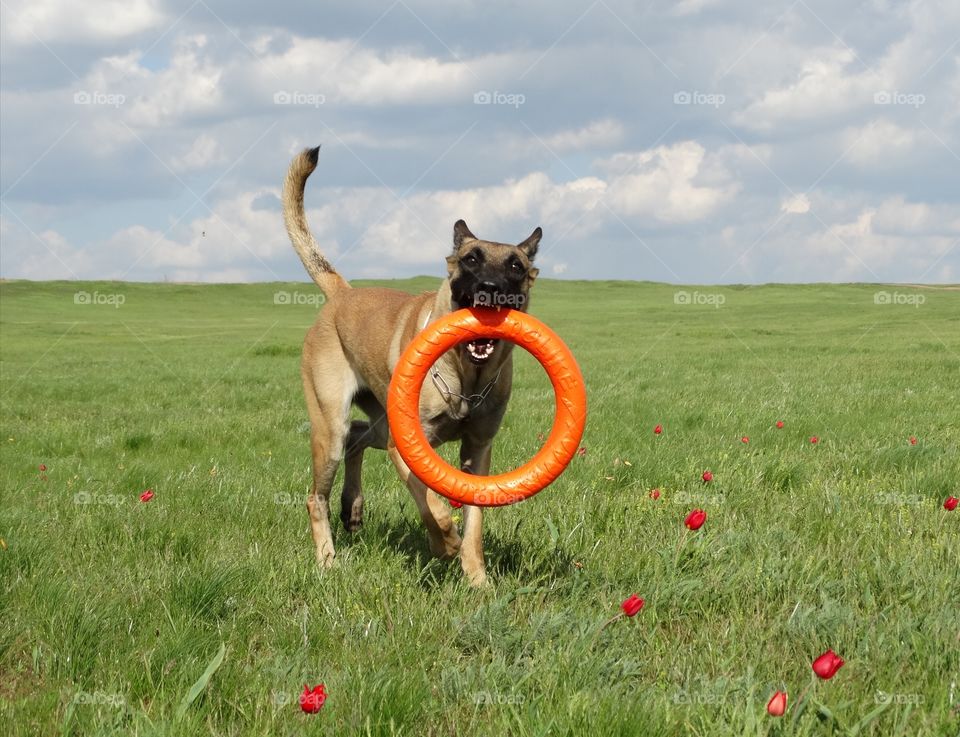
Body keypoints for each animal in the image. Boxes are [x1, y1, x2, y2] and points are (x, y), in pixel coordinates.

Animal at [284, 148, 540, 588]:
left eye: (515, 266)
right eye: (471, 260)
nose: (490, 289)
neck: (464, 377)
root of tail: (342, 295)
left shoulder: (477, 454)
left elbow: (474, 524)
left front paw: (478, 579)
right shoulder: (405, 450)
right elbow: (430, 502)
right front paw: (444, 542)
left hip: (376, 419)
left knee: (357, 437)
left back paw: (353, 507)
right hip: (329, 426)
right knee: (317, 493)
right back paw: (328, 559)